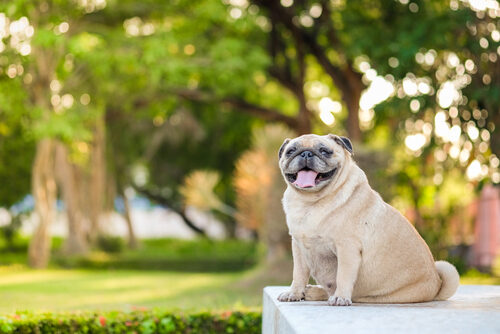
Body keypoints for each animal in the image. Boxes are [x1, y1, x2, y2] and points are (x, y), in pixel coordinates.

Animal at [280, 133, 458, 306]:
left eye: (324, 151)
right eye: (290, 151)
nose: (306, 153)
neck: (309, 202)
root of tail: (437, 285)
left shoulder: (347, 248)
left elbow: (343, 276)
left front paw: (340, 297)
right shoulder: (299, 248)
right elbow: (298, 275)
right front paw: (294, 293)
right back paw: (312, 292)